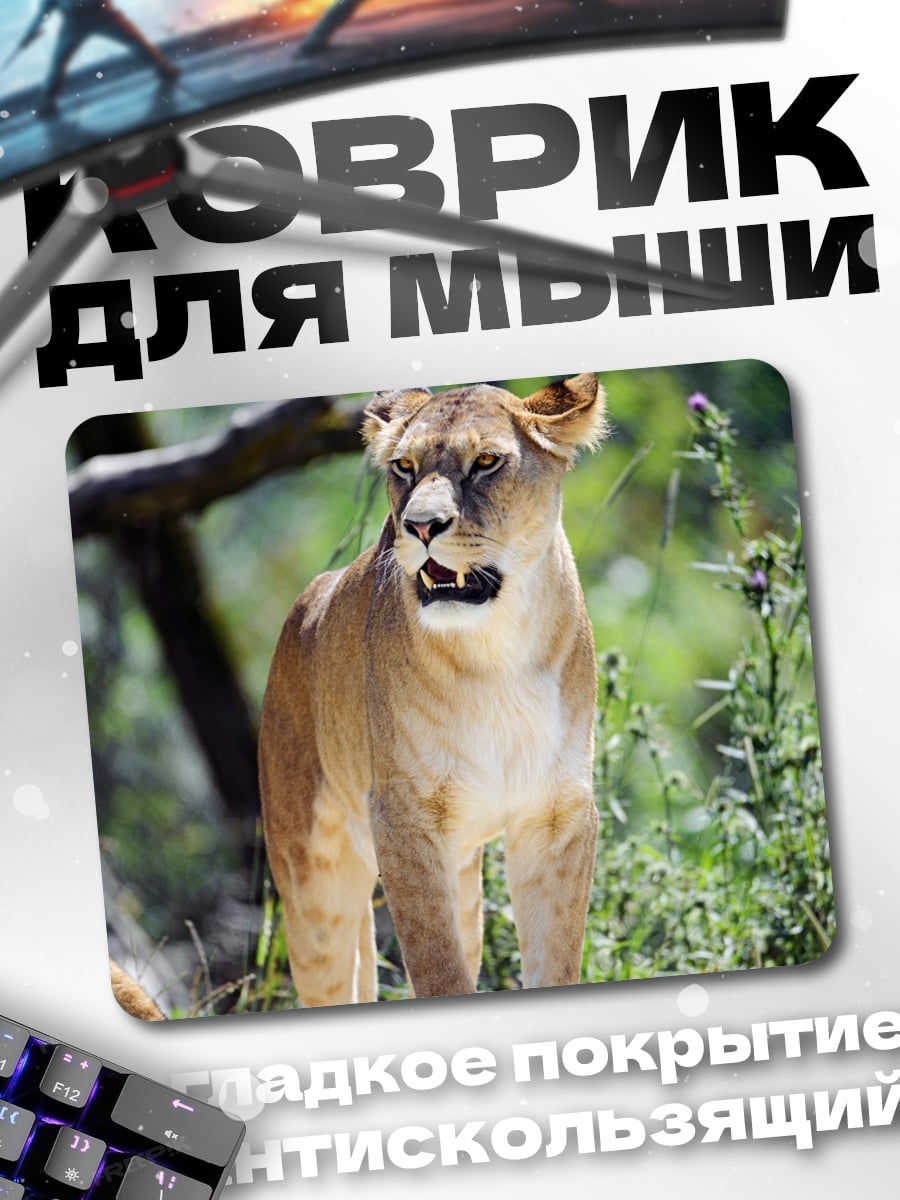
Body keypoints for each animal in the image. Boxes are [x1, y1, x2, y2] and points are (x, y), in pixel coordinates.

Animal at [258, 373, 607, 1006]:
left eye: (486, 462)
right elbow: (438, 970)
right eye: (404, 466)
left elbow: (555, 959)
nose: (420, 526)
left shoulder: (556, 814)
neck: (495, 651)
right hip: (314, 884)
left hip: (464, 875)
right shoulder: (403, 818)